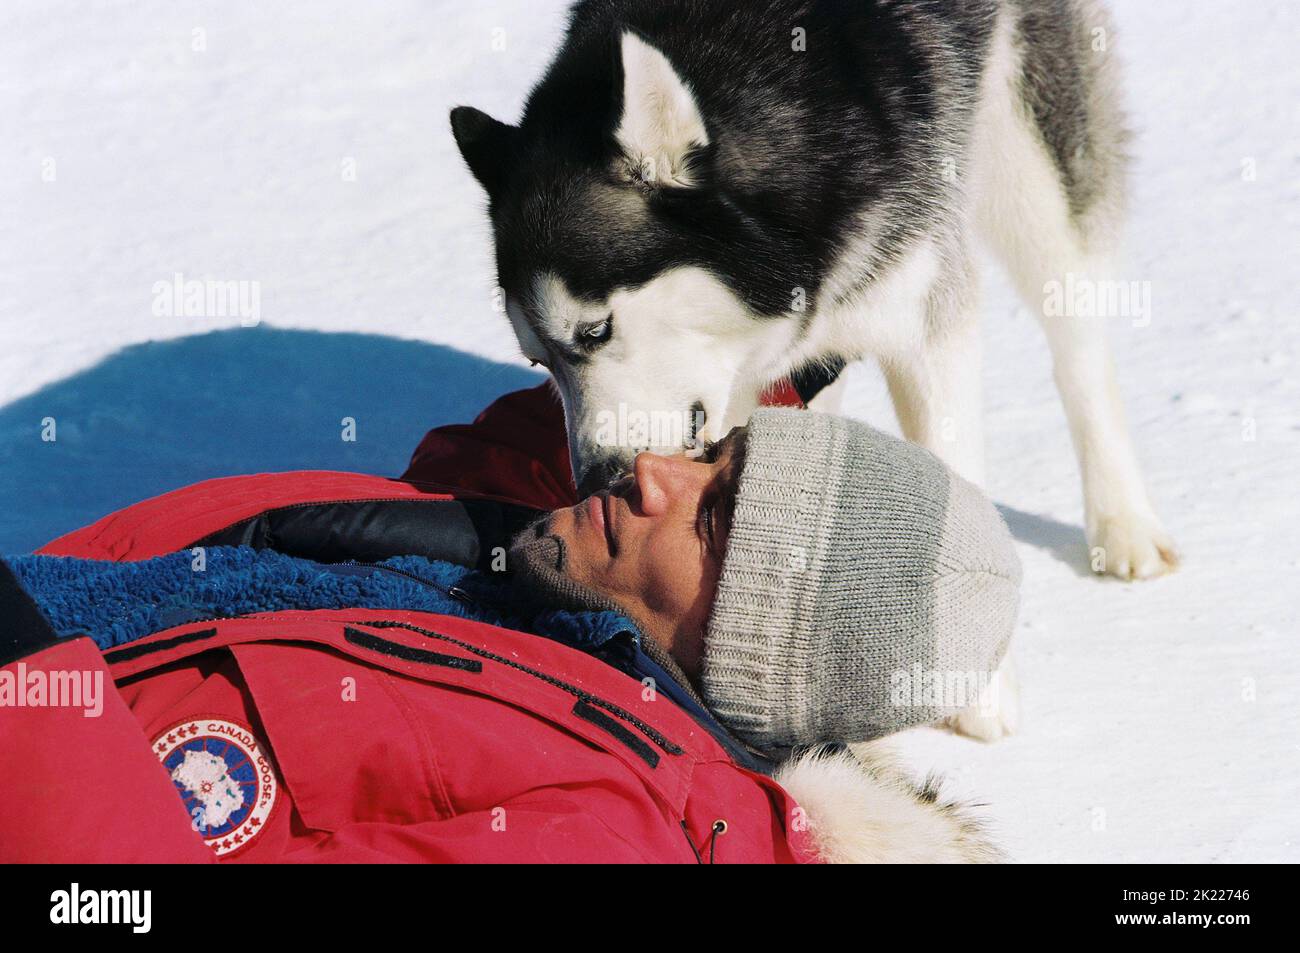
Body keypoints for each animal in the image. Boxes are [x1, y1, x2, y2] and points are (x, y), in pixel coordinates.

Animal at [452, 0, 1185, 738]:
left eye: (595, 330)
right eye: (538, 361)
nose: (599, 479)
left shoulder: (924, 314)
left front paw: (977, 690)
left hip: (1028, 156)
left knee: (1078, 337)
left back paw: (1124, 524)